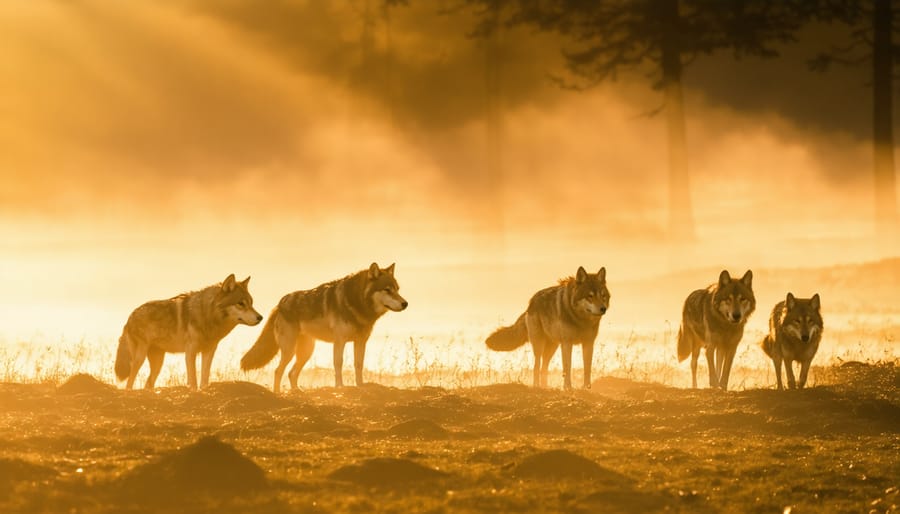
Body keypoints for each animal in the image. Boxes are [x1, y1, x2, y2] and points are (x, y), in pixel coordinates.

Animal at [114, 274, 262, 390]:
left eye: (251, 303)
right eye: (241, 303)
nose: (260, 317)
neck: (207, 315)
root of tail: (130, 316)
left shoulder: (209, 351)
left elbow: (204, 378)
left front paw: (204, 391)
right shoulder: (190, 351)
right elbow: (193, 380)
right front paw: (194, 392)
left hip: (158, 363)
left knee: (147, 384)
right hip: (140, 358)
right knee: (130, 382)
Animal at [239, 262, 408, 390]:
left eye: (397, 289)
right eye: (387, 289)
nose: (405, 303)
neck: (357, 303)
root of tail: (280, 304)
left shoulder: (361, 342)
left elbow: (358, 365)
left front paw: (360, 386)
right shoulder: (339, 341)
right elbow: (338, 365)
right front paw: (340, 387)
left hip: (306, 352)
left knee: (291, 373)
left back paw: (297, 391)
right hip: (290, 351)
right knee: (278, 371)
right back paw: (278, 393)